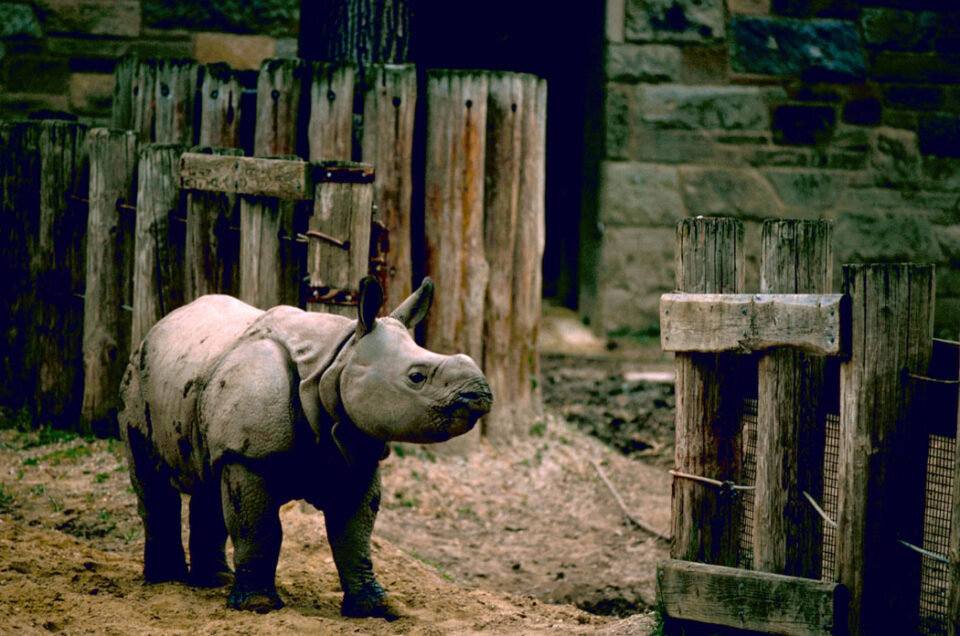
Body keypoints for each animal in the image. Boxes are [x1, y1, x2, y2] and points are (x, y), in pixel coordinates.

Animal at [118, 277, 492, 617]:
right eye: (416, 377)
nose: (481, 392)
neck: (338, 360)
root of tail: (160, 324)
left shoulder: (354, 445)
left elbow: (354, 534)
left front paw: (376, 607)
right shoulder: (248, 455)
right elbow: (259, 529)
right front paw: (258, 606)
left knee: (210, 477)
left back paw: (216, 581)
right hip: (137, 375)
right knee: (152, 479)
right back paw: (166, 581)